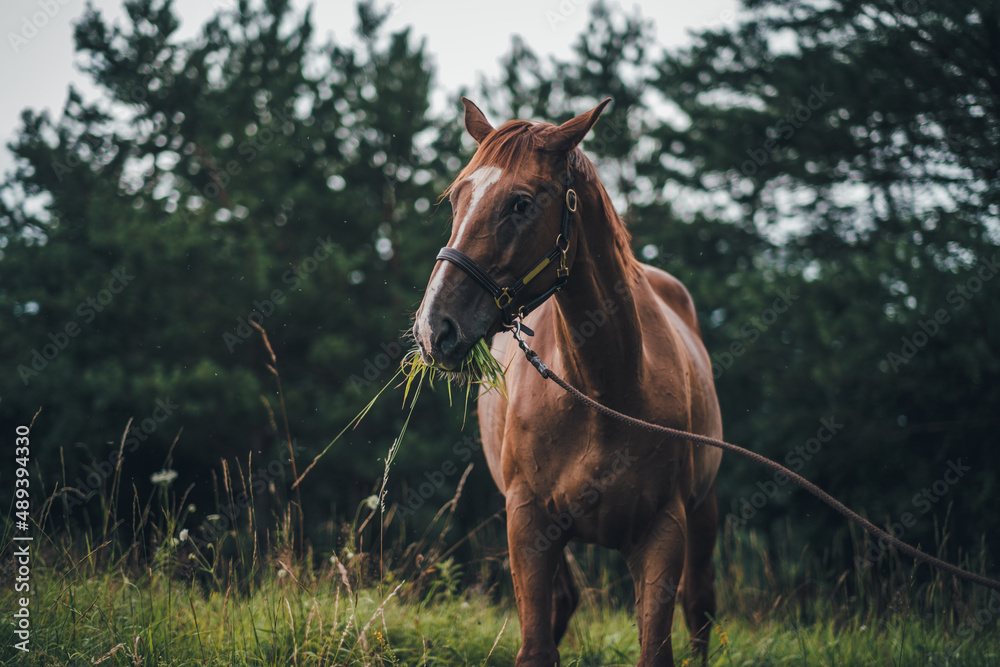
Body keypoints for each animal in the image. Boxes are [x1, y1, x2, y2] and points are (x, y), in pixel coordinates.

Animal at [413, 97, 723, 667]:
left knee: (700, 604)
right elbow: (537, 645)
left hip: (704, 510)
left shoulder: (663, 531)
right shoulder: (528, 522)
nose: (433, 328)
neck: (604, 391)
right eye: (458, 197)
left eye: (519, 204)